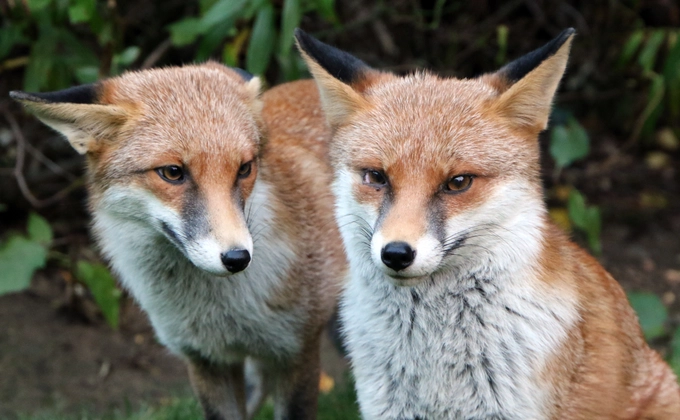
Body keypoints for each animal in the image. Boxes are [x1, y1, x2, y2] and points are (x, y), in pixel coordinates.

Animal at [10, 63, 346, 420]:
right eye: (172, 172)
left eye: (244, 168)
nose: (237, 258)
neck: (222, 313)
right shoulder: (206, 359)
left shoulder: (297, 352)